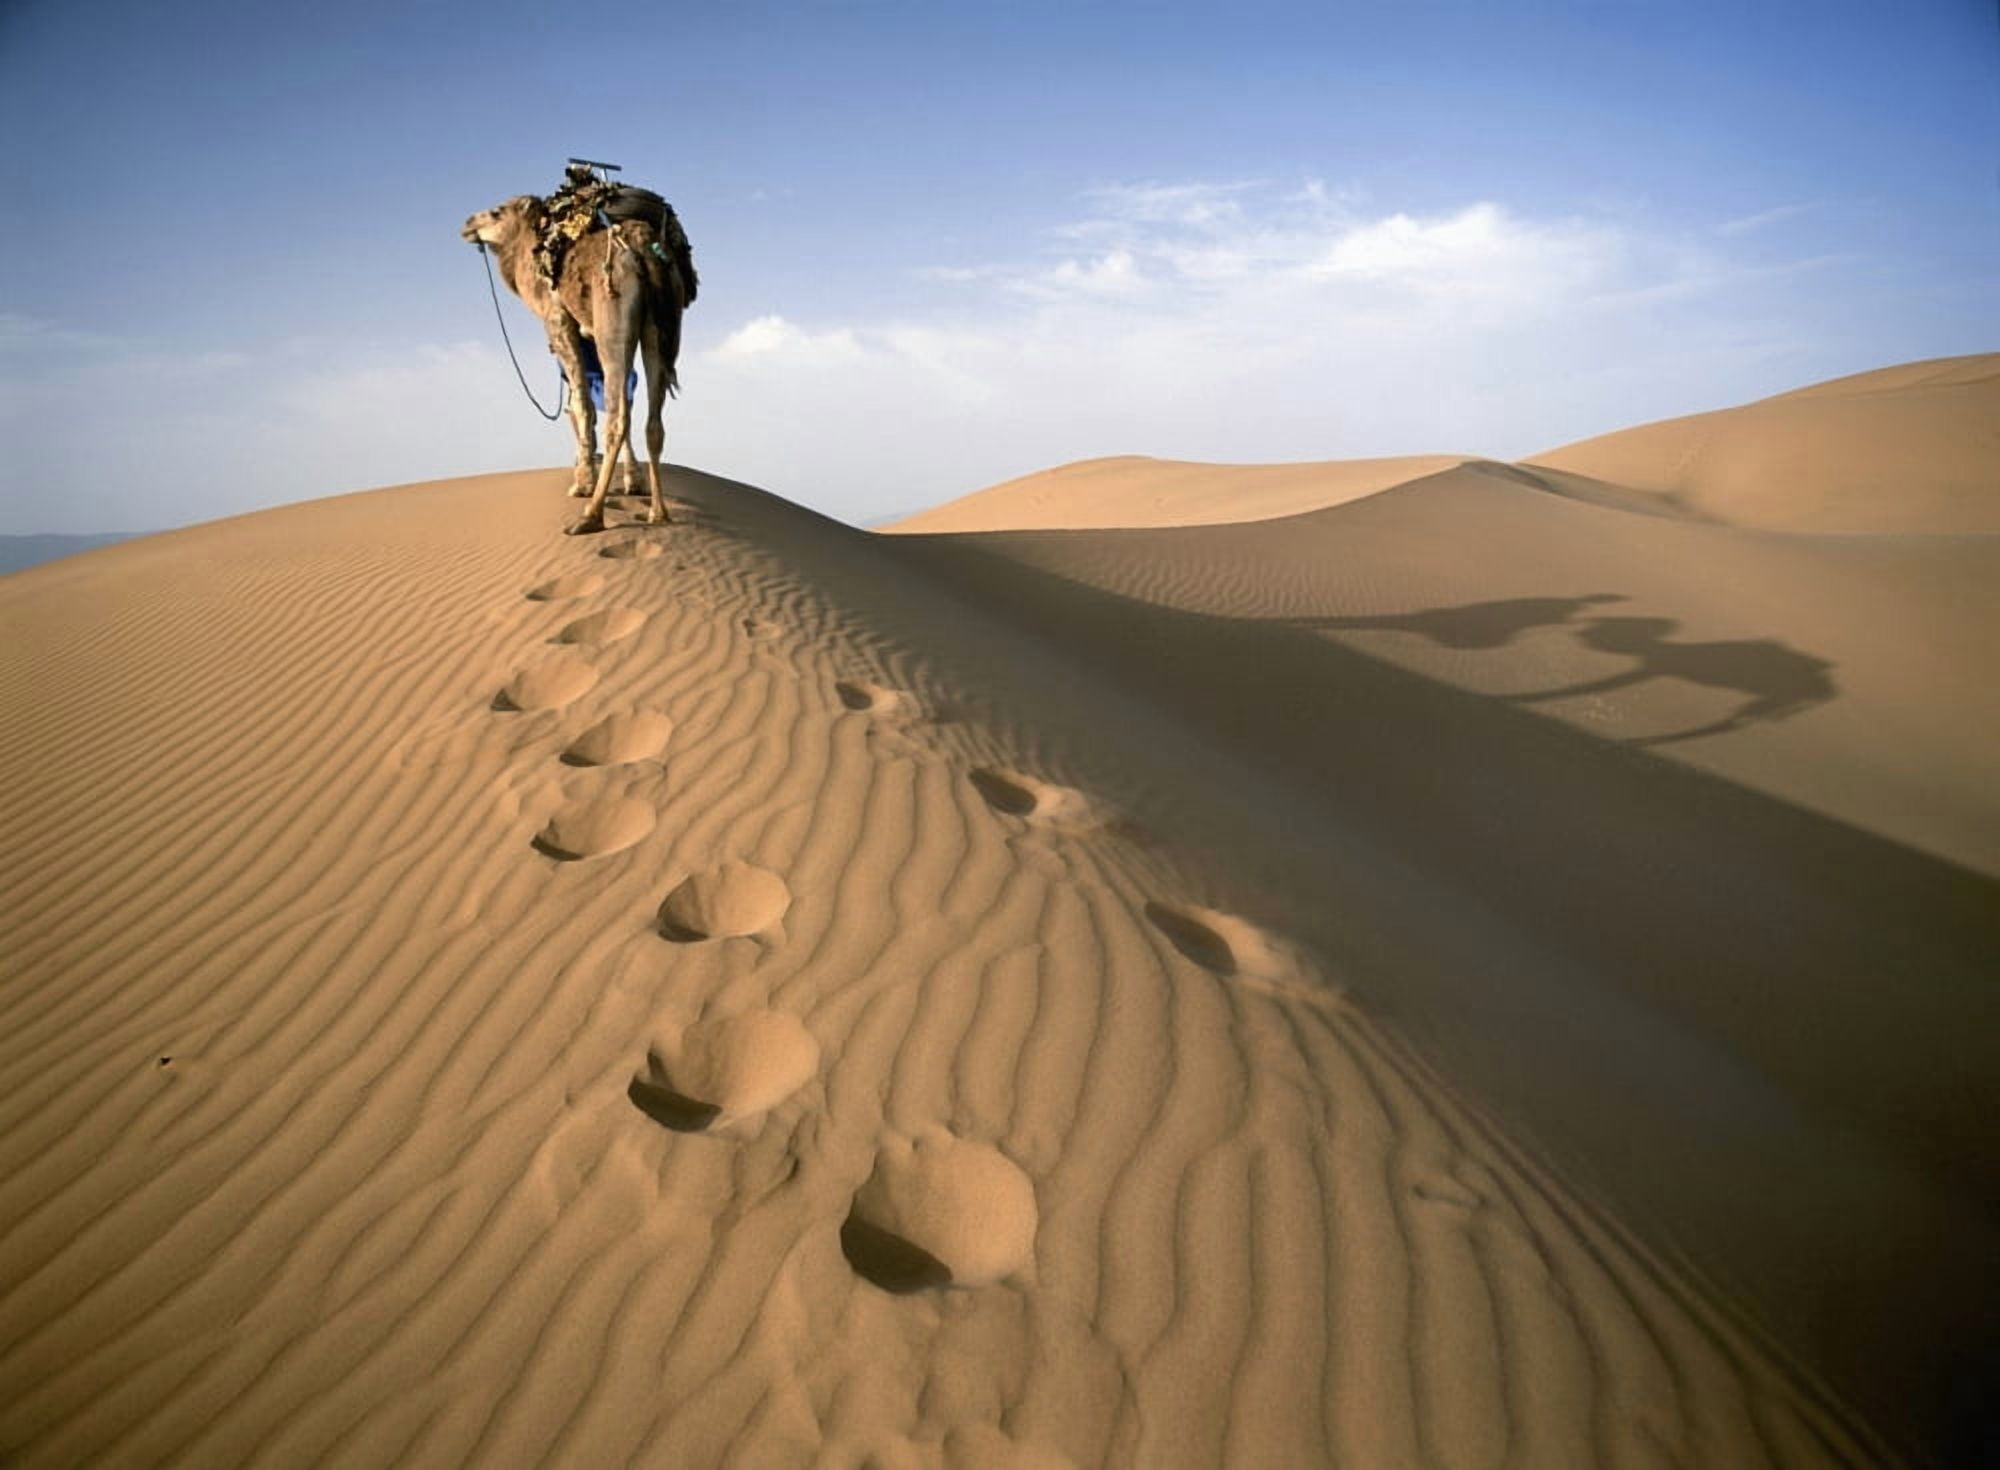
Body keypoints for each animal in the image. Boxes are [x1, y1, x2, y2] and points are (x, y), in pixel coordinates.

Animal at [462, 195, 689, 533]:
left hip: (612, 311)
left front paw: (582, 484)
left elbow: (581, 402)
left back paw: (591, 515)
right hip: (661, 326)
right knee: (653, 420)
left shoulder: (558, 320)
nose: (467, 224)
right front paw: (623, 481)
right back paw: (658, 513)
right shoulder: (587, 334)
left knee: (618, 415)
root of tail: (643, 248)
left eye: (496, 212)